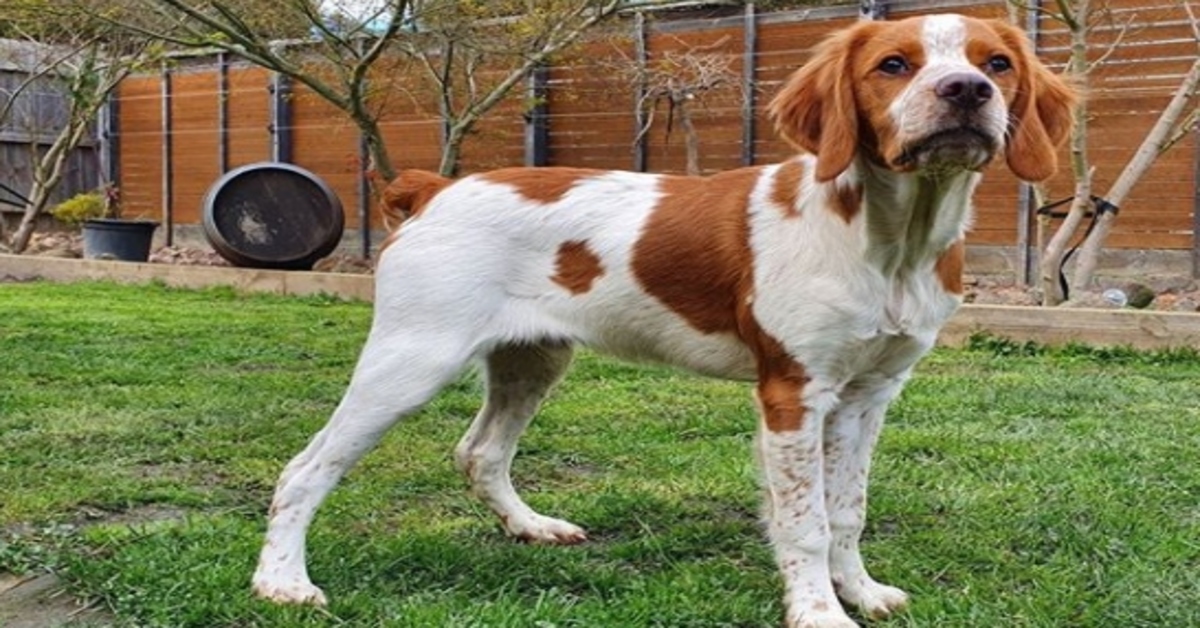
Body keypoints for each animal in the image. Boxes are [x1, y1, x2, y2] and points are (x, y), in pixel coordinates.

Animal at [253, 12, 1080, 624]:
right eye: (894, 65)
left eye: (997, 62)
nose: (967, 90)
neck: (890, 241)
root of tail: (434, 187)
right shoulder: (793, 392)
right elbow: (805, 519)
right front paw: (819, 612)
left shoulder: (869, 395)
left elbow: (847, 509)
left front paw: (862, 592)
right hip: (411, 357)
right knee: (306, 467)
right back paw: (282, 582)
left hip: (533, 357)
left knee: (479, 451)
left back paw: (531, 527)